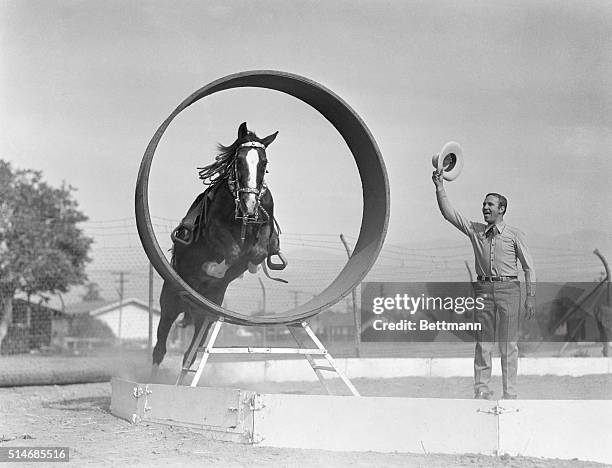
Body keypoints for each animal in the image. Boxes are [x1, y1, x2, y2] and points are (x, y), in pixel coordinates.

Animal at [152, 121, 288, 380]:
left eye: (264, 163)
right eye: (239, 161)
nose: (249, 205)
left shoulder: (265, 226)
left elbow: (257, 252)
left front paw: (252, 266)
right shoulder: (214, 230)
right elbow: (231, 251)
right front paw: (213, 268)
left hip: (206, 316)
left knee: (190, 353)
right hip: (170, 301)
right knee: (160, 346)